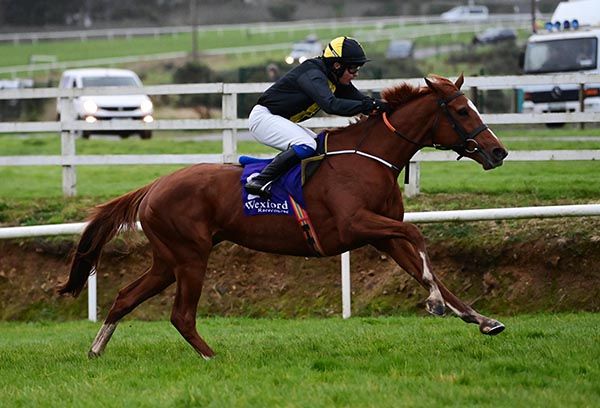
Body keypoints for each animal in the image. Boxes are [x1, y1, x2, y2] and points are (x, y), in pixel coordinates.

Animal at [57, 74, 508, 359]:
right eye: (463, 112)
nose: (498, 151)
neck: (368, 158)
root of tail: (152, 186)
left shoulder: (381, 234)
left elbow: (426, 265)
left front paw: (481, 319)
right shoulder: (356, 225)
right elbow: (417, 234)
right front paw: (435, 303)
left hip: (169, 260)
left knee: (124, 297)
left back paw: (96, 350)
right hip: (189, 257)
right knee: (180, 315)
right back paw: (213, 357)